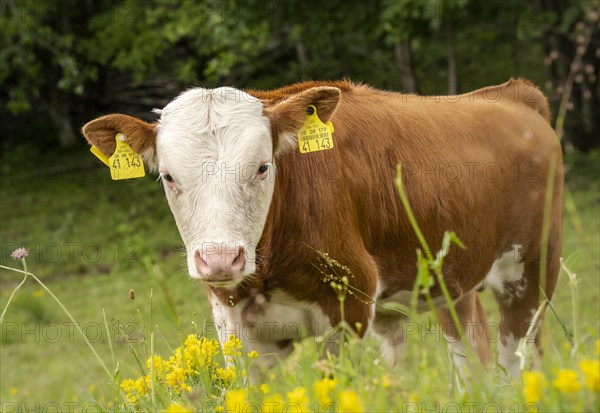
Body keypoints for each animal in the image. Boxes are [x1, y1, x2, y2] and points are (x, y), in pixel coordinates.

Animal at [83, 79, 564, 382]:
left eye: (263, 167)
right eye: (168, 176)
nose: (220, 259)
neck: (267, 274)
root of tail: (509, 95)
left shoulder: (348, 313)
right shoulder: (236, 331)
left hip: (531, 272)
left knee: (518, 355)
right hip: (450, 283)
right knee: (471, 352)